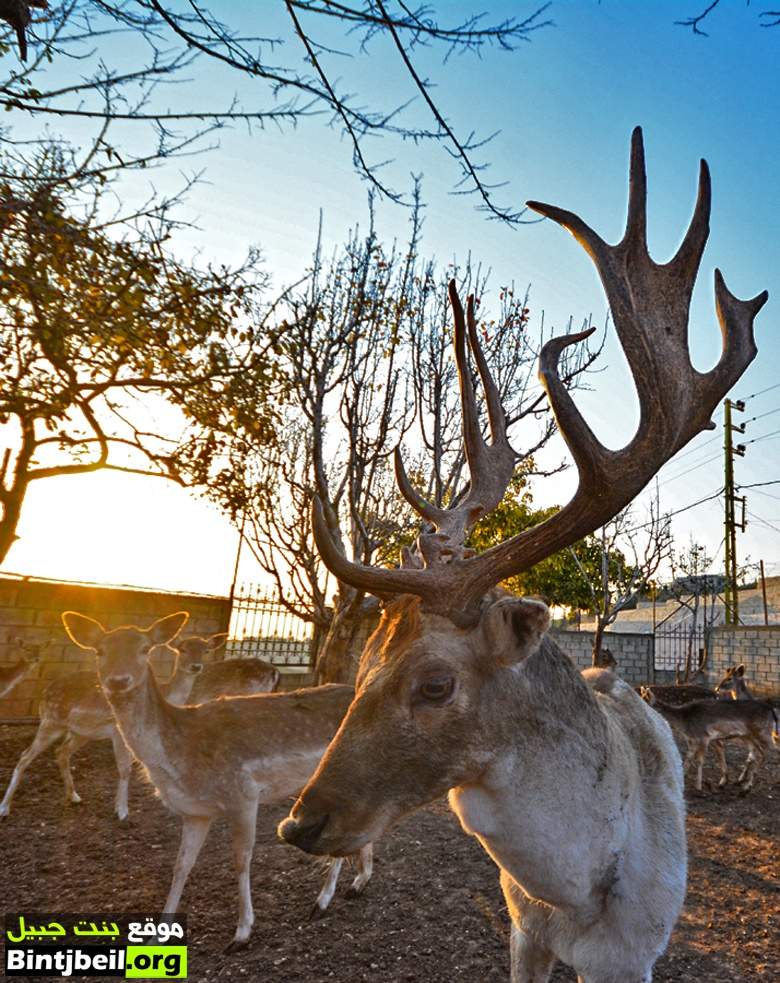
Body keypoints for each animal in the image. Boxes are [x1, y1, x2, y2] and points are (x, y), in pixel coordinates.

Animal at [0, 632, 278, 824]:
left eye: (206, 649)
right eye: (182, 648)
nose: (196, 666)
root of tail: (44, 691)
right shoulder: (118, 732)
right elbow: (125, 769)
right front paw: (123, 812)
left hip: (81, 731)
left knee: (61, 752)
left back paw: (74, 796)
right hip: (51, 721)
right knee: (25, 756)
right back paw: (5, 808)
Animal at [60, 612, 374, 948]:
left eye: (145, 649)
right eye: (99, 651)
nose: (118, 681)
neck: (181, 759)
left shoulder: (243, 794)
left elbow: (241, 860)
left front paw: (242, 933)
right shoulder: (195, 813)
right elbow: (181, 865)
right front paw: (158, 934)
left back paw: (322, 902)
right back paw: (358, 882)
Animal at [640, 688, 780, 796]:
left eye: (645, 703)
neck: (684, 723)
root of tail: (771, 711)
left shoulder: (703, 737)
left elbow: (700, 761)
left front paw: (698, 787)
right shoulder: (692, 740)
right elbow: (687, 760)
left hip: (764, 733)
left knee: (772, 751)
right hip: (748, 736)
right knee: (759, 754)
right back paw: (745, 787)